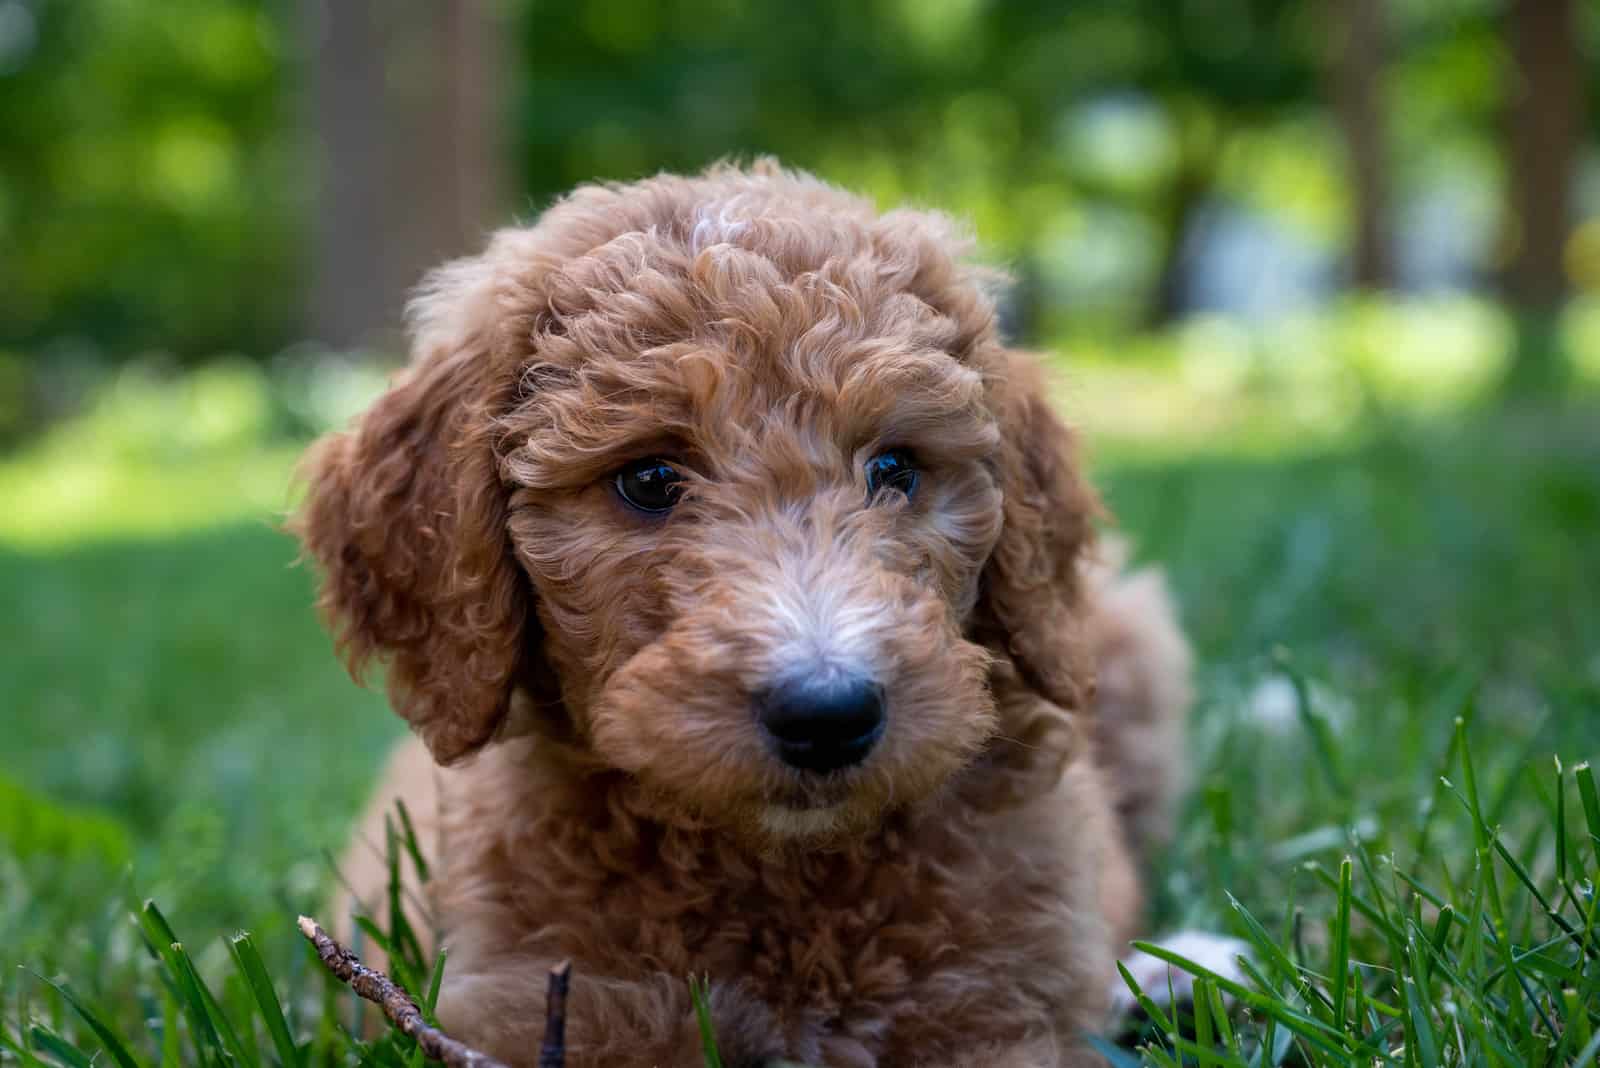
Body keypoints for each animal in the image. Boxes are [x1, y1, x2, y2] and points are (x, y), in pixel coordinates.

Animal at [300, 160, 1196, 1068]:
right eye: (649, 479)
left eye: (895, 468)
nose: (829, 714)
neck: (783, 874)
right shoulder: (546, 1009)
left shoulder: (999, 1005)